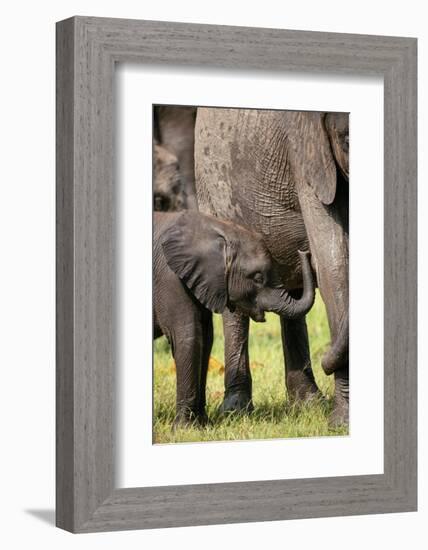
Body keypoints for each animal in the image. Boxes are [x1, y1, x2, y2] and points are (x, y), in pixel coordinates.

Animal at [154, 211, 314, 426]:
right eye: (257, 278)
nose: (304, 252)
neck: (216, 230)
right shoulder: (170, 278)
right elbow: (188, 336)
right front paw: (185, 428)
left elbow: (206, 338)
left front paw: (203, 425)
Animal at [196, 108, 350, 426]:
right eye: (347, 140)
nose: (326, 359)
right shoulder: (308, 155)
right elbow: (333, 262)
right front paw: (343, 423)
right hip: (209, 182)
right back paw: (236, 410)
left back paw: (307, 405)